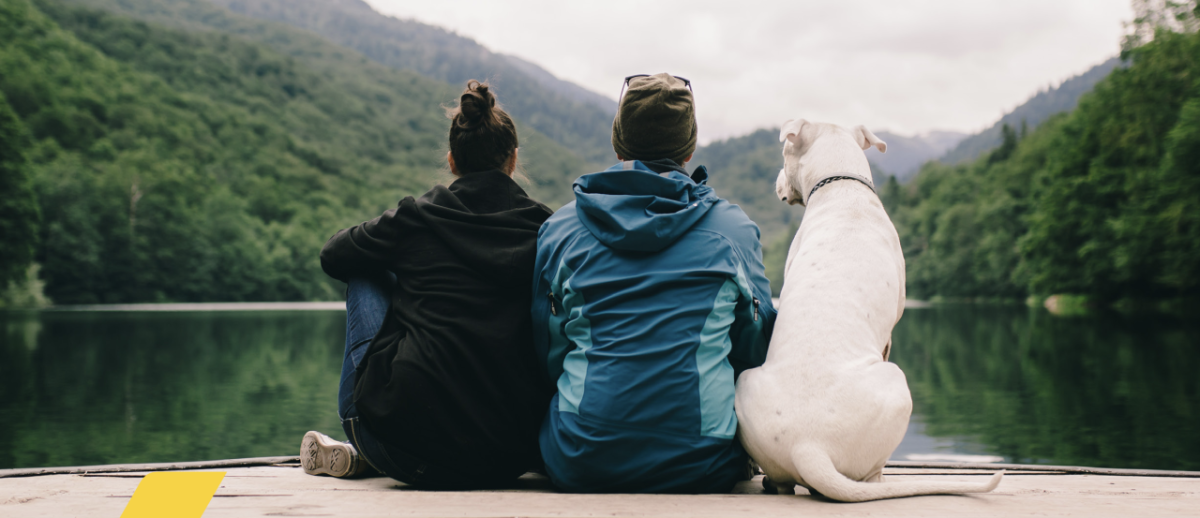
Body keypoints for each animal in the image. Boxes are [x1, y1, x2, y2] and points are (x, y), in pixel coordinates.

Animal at [729, 120, 1003, 501]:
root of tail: (808, 446)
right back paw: (878, 479)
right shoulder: (890, 335)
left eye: (784, 154)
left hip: (746, 381)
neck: (841, 189)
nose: (776, 182)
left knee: (783, 480)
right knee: (869, 474)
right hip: (898, 384)